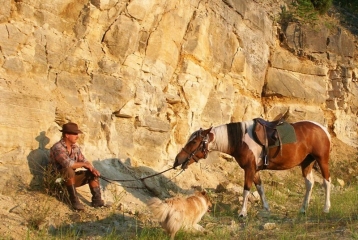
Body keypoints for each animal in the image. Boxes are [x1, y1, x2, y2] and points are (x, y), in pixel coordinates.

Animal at [172, 120, 332, 218]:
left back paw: (326, 208)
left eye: (194, 142)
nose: (177, 160)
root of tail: (322, 129)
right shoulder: (254, 170)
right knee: (309, 184)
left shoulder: (249, 169)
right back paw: (303, 209)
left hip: (322, 160)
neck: (240, 140)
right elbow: (260, 189)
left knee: (326, 182)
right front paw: (266, 208)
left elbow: (246, 190)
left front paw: (242, 212)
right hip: (306, 164)